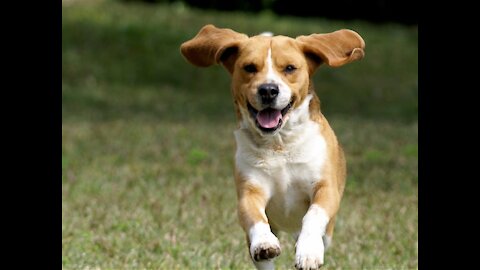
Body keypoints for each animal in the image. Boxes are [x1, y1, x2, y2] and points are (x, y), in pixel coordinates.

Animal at [180, 24, 364, 268]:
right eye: (249, 67)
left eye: (289, 68)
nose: (268, 90)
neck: (279, 145)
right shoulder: (250, 190)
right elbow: (255, 216)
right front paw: (264, 243)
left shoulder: (325, 187)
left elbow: (313, 215)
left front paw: (308, 251)